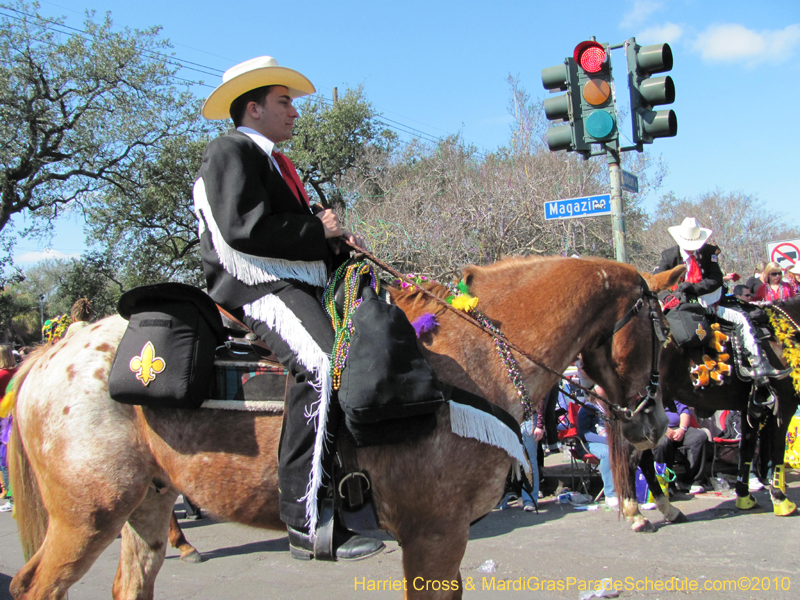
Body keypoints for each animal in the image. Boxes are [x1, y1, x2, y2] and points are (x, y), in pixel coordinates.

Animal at [7, 254, 680, 600]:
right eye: (661, 332)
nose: (653, 423)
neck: (478, 354)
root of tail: (52, 351)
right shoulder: (434, 535)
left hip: (144, 504)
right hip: (86, 517)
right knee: (34, 585)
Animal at [608, 298, 796, 532]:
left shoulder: (749, 411)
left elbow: (746, 451)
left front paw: (744, 498)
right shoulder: (785, 407)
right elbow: (777, 452)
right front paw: (781, 500)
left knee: (643, 459)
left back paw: (666, 510)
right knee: (633, 457)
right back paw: (638, 515)